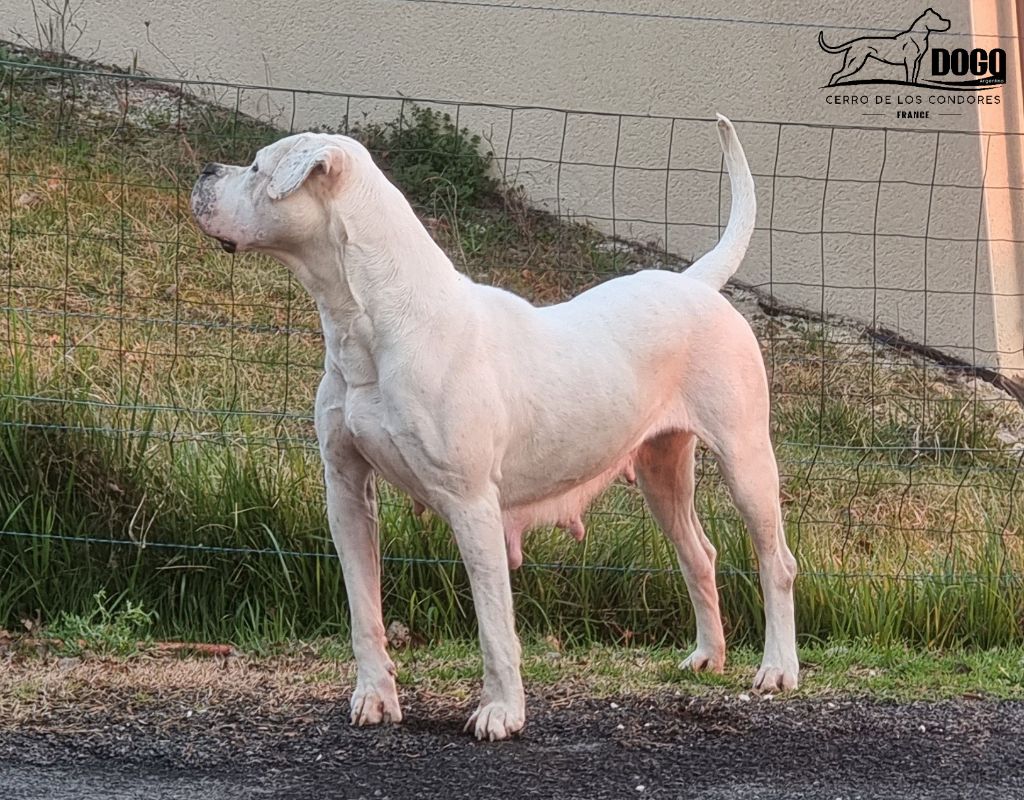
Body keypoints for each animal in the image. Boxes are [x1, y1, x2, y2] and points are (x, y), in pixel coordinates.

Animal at [192, 113, 798, 741]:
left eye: (258, 168)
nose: (206, 170)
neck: (374, 324)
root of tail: (697, 283)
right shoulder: (346, 490)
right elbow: (364, 610)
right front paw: (376, 697)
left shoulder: (471, 504)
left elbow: (493, 622)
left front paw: (501, 712)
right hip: (662, 471)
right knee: (698, 554)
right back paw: (708, 656)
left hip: (746, 461)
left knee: (776, 562)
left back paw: (778, 669)